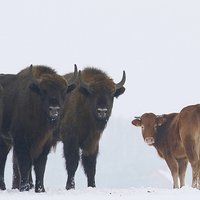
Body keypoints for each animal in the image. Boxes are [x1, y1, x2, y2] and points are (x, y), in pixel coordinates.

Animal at [0, 64, 77, 192]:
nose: (54, 109)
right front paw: (24, 188)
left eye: (63, 91)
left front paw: (40, 189)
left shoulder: (45, 142)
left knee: (2, 157)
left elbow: (40, 165)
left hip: (5, 141)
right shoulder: (20, 140)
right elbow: (25, 163)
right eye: (43, 91)